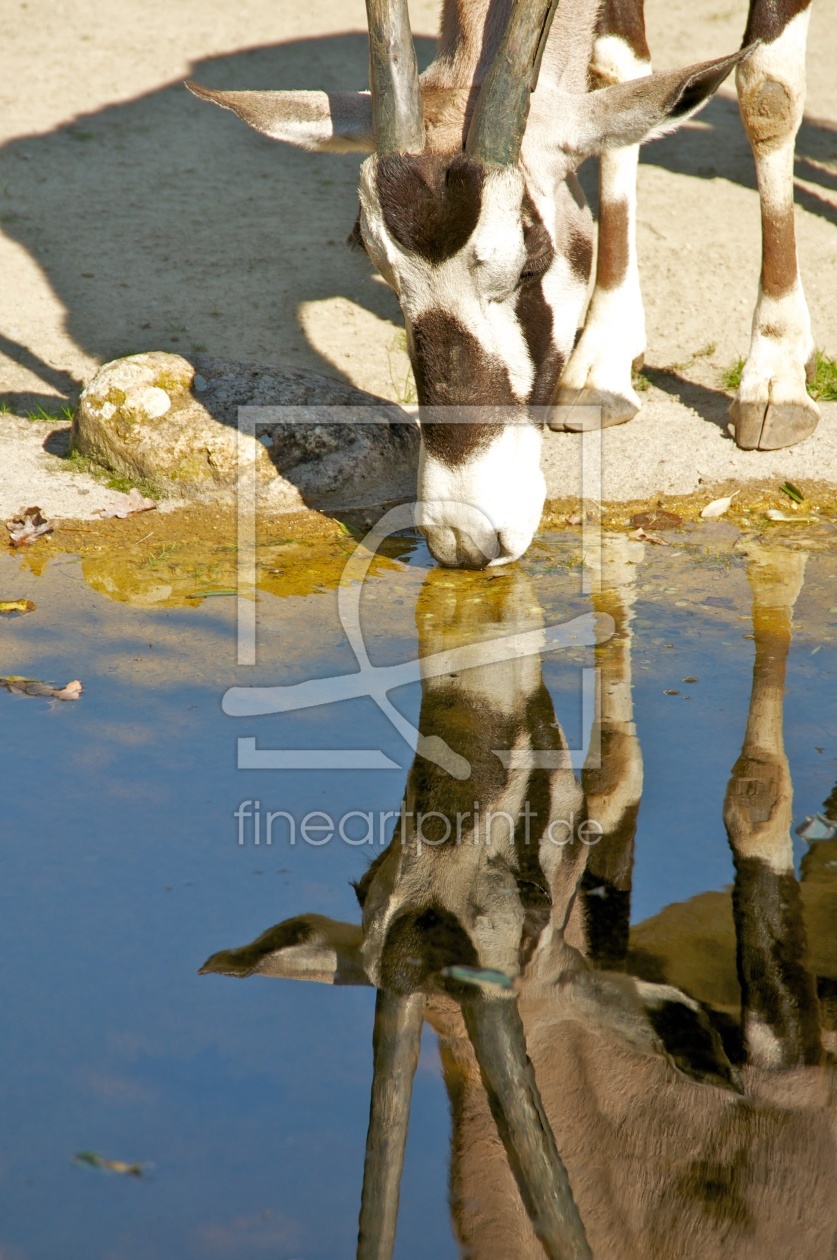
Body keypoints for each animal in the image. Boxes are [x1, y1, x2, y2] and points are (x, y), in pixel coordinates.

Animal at [187, 0, 816, 572]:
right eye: (376, 263)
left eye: (529, 263)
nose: (464, 537)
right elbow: (618, 71)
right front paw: (605, 361)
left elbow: (768, 87)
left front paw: (776, 378)